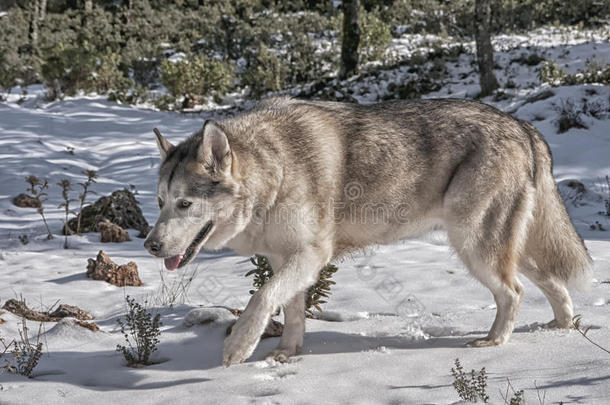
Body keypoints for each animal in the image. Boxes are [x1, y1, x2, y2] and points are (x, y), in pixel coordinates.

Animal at [142, 98, 588, 366]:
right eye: (161, 201)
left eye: (185, 204)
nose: (150, 245)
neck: (275, 172)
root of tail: (523, 125)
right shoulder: (287, 259)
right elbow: (291, 311)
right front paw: (286, 354)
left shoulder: (311, 256)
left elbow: (261, 298)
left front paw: (239, 347)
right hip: (500, 249)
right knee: (550, 283)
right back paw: (561, 329)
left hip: (475, 247)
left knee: (514, 293)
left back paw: (494, 344)